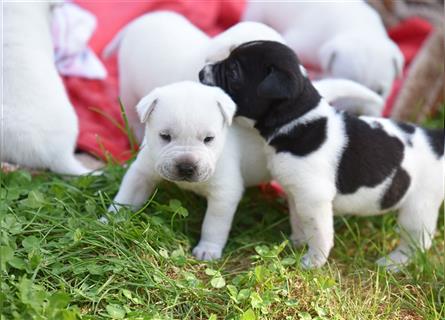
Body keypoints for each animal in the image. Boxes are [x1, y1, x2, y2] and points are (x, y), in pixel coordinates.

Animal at [199, 40, 442, 270]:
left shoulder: (314, 198)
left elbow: (319, 233)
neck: (297, 120)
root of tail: (437, 142)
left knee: (418, 242)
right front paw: (297, 243)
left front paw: (314, 261)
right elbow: (299, 221)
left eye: (233, 71)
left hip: (418, 209)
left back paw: (394, 263)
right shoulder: (296, 194)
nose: (201, 72)